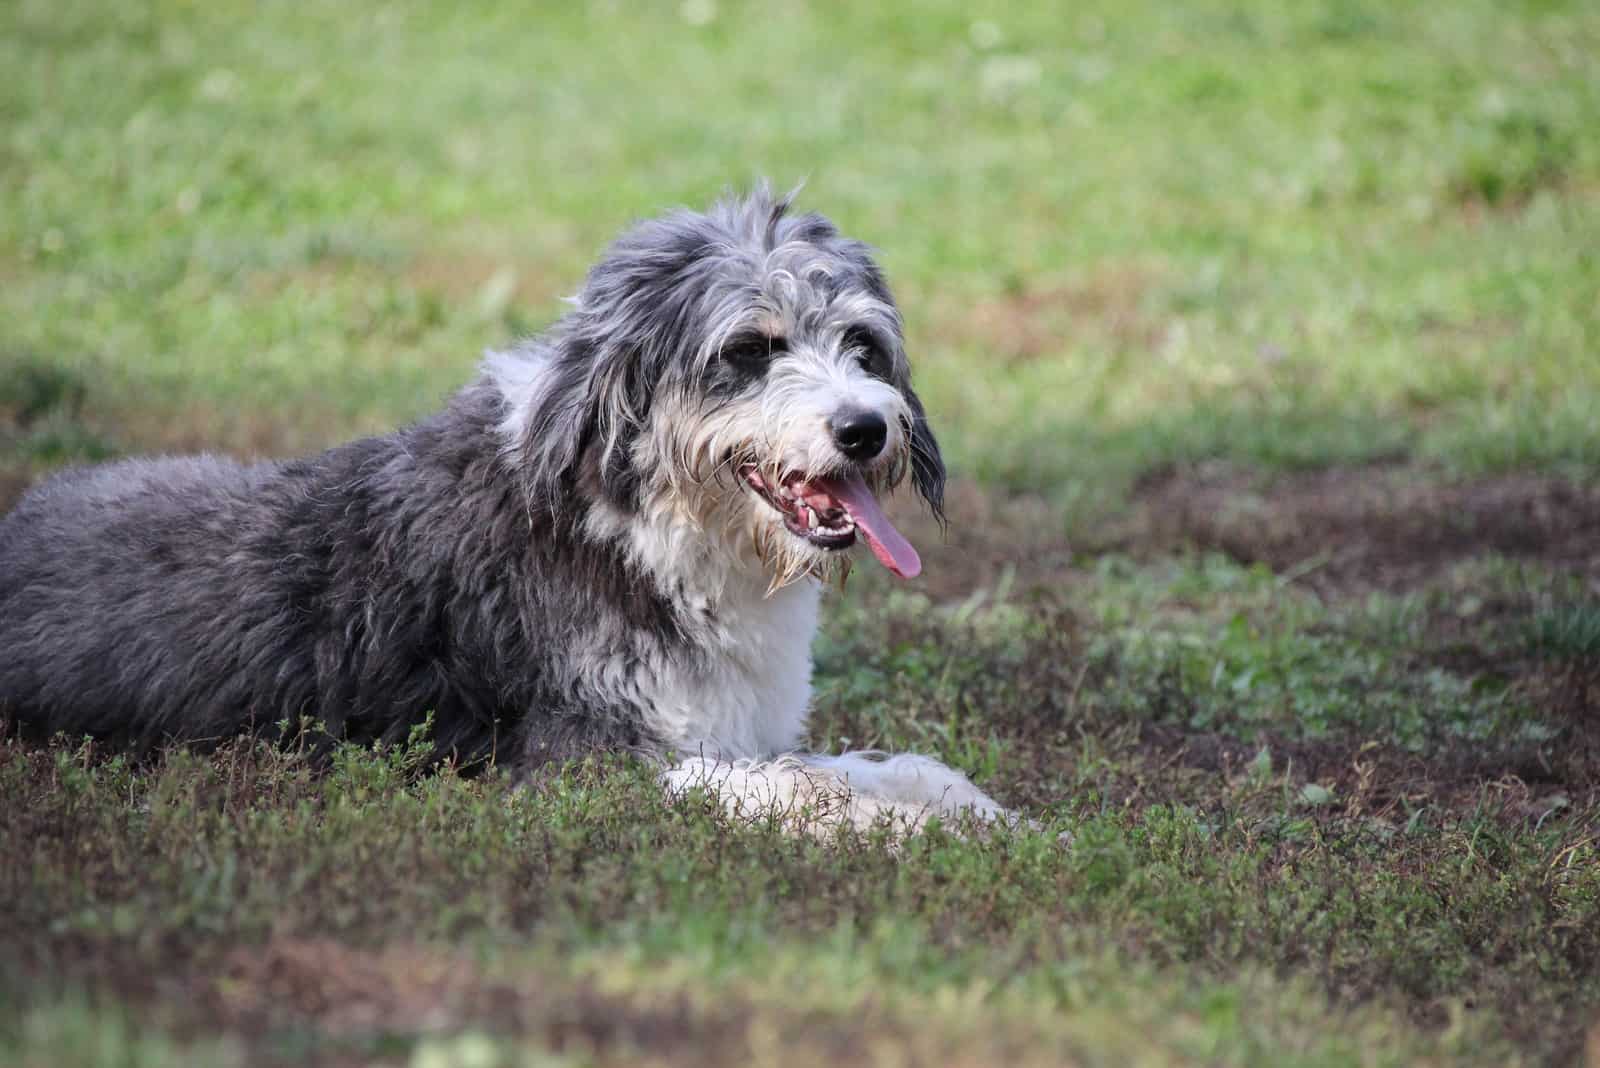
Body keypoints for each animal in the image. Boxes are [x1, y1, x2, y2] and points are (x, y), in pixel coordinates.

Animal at [0, 187, 1004, 831]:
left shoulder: (732, 728)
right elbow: (800, 790)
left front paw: (986, 814)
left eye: (863, 345)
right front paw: (921, 834)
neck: (636, 526)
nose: (866, 429)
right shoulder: (580, 763)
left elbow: (878, 765)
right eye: (751, 349)